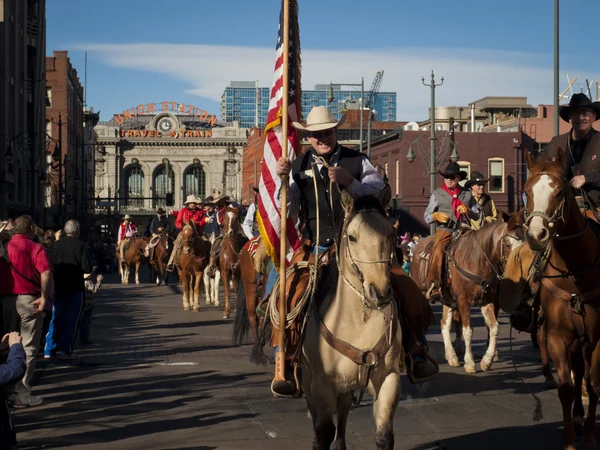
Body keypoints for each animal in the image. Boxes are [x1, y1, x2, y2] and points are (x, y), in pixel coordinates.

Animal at [300, 190, 404, 450]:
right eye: (352, 237)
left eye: (390, 233)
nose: (380, 291)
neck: (359, 321)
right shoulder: (321, 384)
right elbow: (323, 432)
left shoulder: (388, 377)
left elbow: (384, 435)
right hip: (307, 379)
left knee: (344, 410)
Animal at [410, 218, 524, 372]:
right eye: (507, 244)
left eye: (523, 243)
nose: (517, 270)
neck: (476, 261)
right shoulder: (463, 300)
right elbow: (468, 330)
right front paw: (470, 363)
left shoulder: (487, 299)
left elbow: (493, 326)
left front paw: (487, 360)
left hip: (448, 299)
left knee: (444, 324)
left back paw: (451, 356)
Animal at [506, 149, 600, 450]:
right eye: (526, 192)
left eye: (559, 192)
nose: (536, 235)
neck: (575, 271)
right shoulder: (559, 336)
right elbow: (566, 388)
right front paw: (570, 440)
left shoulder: (597, 338)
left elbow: (594, 385)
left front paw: (590, 438)